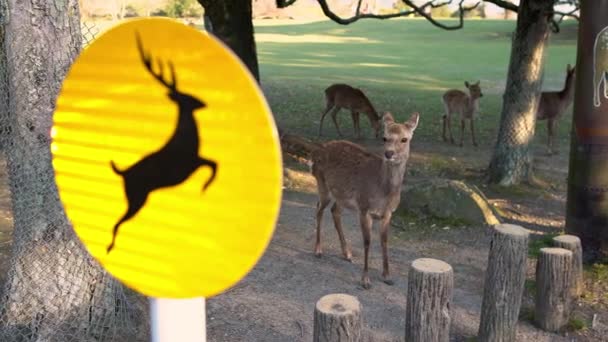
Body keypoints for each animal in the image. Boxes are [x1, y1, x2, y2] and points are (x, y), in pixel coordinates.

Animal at [107, 32, 218, 254]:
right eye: (187, 97)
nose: (204, 103)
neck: (189, 140)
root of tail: (123, 173)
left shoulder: (195, 161)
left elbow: (213, 164)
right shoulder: (192, 163)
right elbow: (213, 165)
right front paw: (204, 188)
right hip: (137, 197)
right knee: (118, 222)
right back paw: (110, 247)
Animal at [312, 112, 420, 288]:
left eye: (405, 139)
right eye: (384, 137)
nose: (389, 153)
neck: (384, 193)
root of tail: (314, 154)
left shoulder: (388, 213)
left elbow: (384, 241)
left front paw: (387, 276)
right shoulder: (364, 208)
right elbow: (367, 241)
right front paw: (365, 280)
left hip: (342, 195)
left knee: (334, 210)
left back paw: (347, 253)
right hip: (322, 184)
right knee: (319, 209)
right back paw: (318, 250)